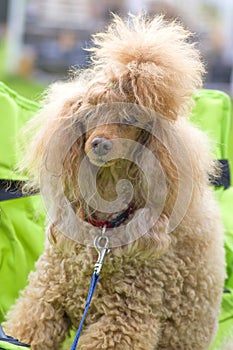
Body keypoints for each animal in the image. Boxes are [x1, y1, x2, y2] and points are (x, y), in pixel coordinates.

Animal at [3, 14, 226, 350]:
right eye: (89, 114)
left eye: (131, 119)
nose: (99, 144)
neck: (102, 233)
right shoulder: (45, 299)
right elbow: (25, 327)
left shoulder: (124, 318)